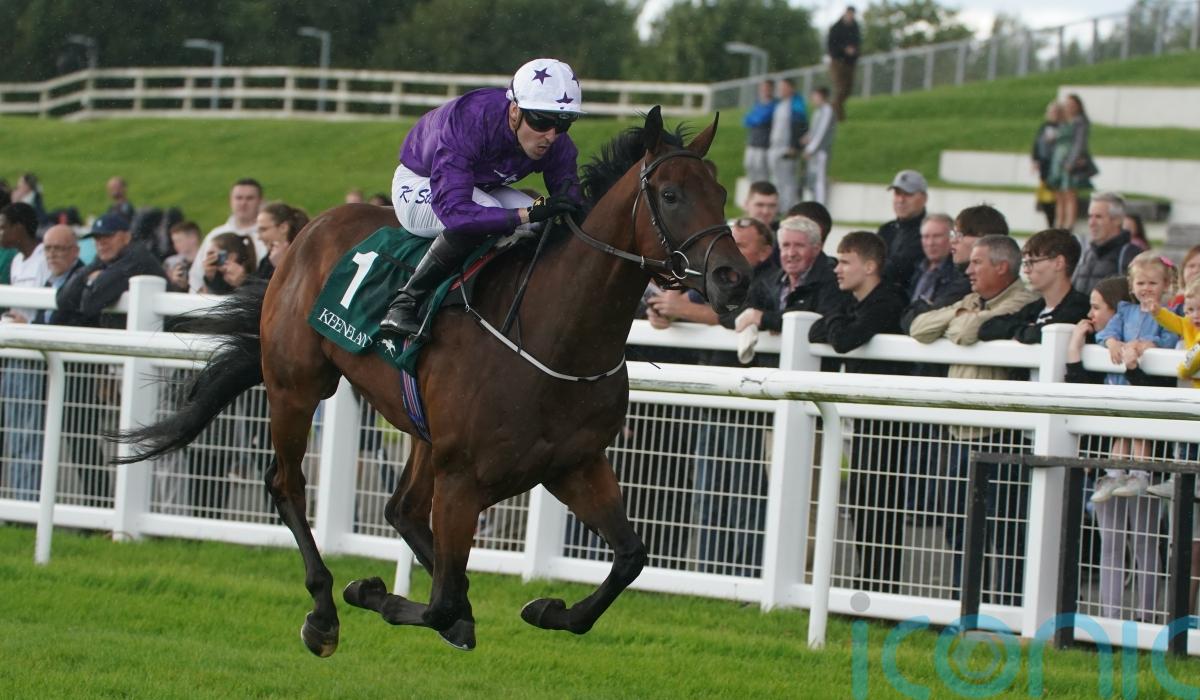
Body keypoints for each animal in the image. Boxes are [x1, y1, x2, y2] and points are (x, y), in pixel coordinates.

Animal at [118, 107, 750, 655]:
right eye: (670, 195)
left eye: (721, 194)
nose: (734, 278)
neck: (554, 335)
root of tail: (308, 228)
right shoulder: (463, 479)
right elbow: (441, 600)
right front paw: (370, 592)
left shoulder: (574, 464)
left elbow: (631, 557)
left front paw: (547, 608)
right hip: (297, 386)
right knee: (288, 485)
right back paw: (324, 611)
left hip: (421, 429)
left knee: (401, 510)